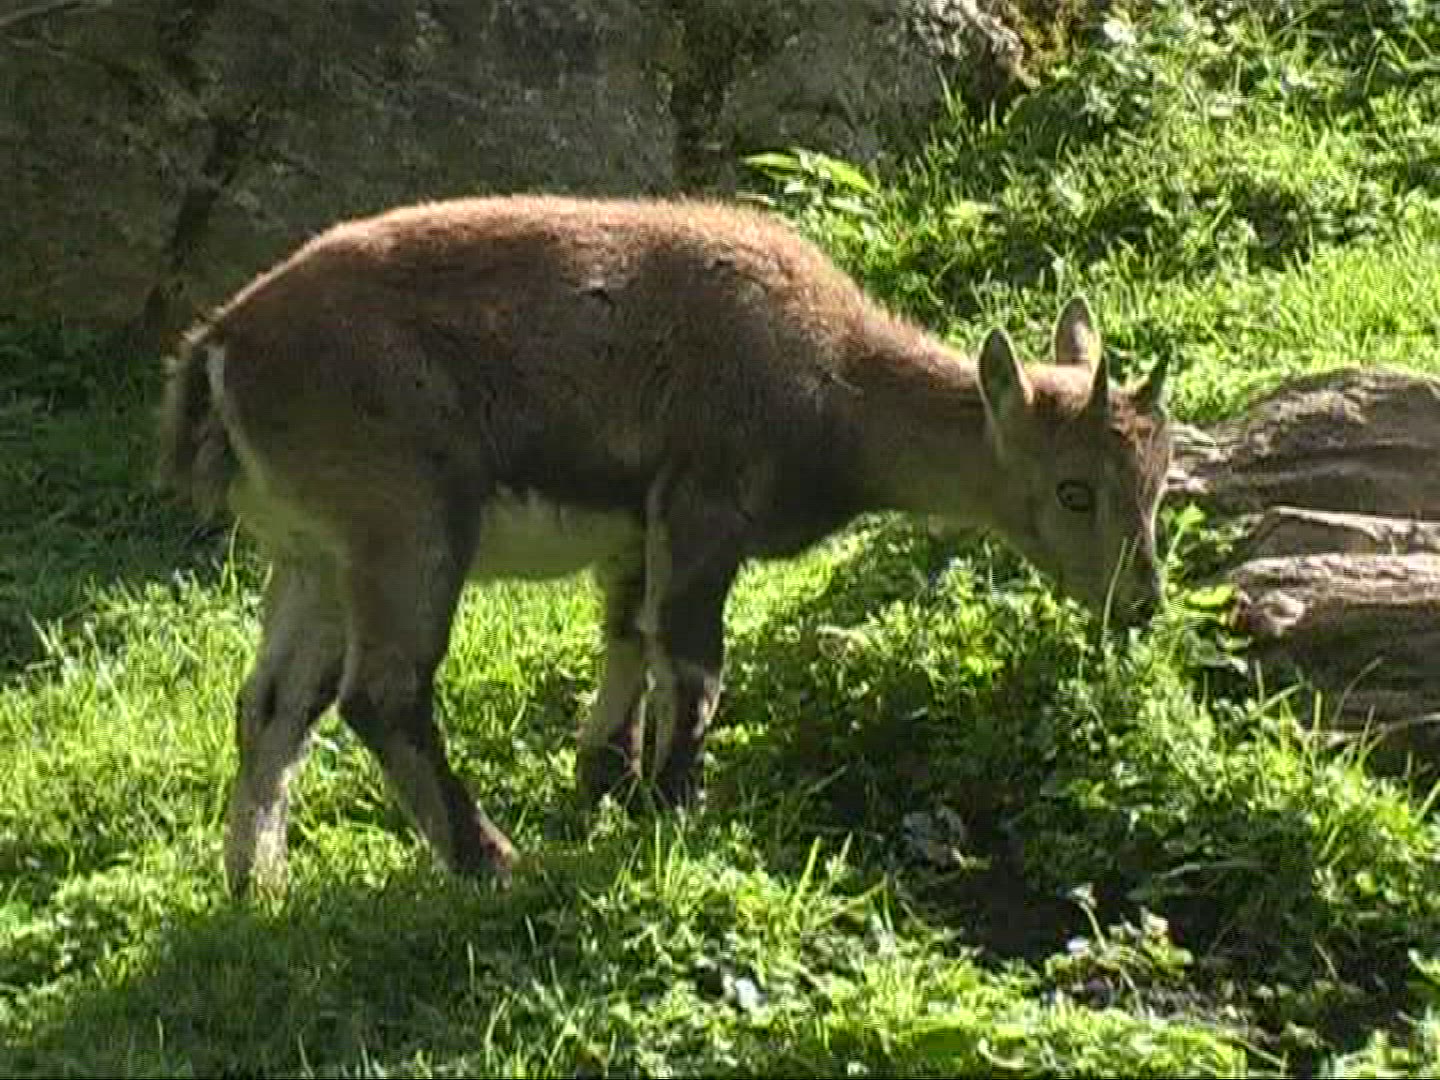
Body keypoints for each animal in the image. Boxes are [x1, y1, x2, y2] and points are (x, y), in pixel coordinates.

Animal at [157, 194, 1173, 896]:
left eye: (1161, 478)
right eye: (1074, 489)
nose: (1142, 603)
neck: (836, 388)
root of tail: (219, 354)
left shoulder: (637, 533)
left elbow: (624, 641)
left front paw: (605, 780)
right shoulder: (704, 510)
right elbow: (692, 664)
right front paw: (675, 805)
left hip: (315, 557)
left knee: (274, 705)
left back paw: (258, 884)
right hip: (404, 526)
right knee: (382, 695)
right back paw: (488, 860)